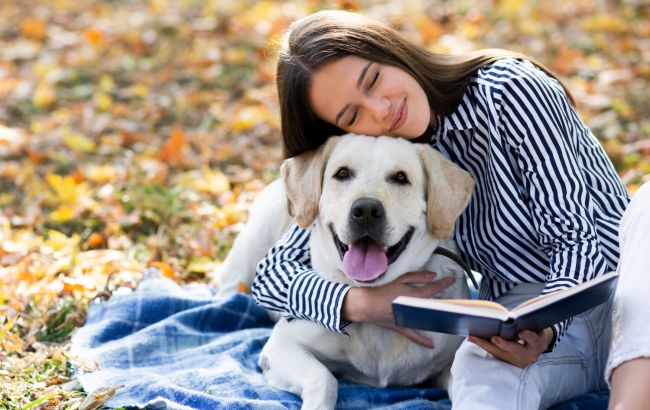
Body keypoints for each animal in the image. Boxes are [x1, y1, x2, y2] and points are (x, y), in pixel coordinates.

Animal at [213, 134, 470, 406]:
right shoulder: (282, 344)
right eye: (343, 173)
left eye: (401, 177)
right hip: (255, 240)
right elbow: (324, 378)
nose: (366, 210)